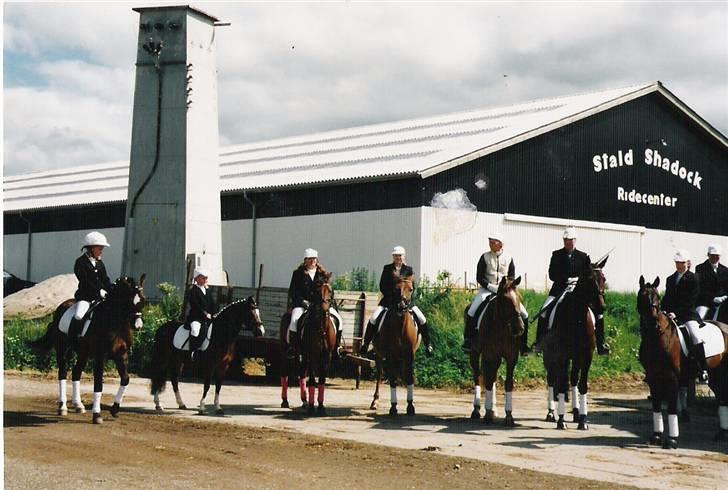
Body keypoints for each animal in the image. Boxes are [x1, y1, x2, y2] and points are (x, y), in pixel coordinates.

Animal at [30, 274, 146, 424]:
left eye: (142, 301)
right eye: (129, 301)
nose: (138, 326)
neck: (114, 324)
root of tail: (60, 308)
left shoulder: (122, 355)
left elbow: (125, 379)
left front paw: (114, 409)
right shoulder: (100, 357)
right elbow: (98, 384)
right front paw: (97, 414)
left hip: (83, 353)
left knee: (76, 372)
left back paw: (78, 405)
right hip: (62, 349)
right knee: (62, 373)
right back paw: (62, 407)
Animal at [366, 274, 418, 416]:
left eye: (411, 289)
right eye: (396, 289)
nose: (401, 306)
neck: (401, 327)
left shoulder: (410, 355)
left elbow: (409, 378)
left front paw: (410, 406)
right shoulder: (390, 356)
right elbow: (393, 379)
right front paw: (393, 407)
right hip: (379, 355)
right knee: (379, 374)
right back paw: (375, 401)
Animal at [472, 276, 524, 424]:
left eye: (519, 298)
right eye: (506, 300)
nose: (520, 328)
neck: (501, 326)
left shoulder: (511, 357)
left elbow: (508, 383)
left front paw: (509, 415)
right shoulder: (489, 355)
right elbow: (488, 382)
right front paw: (487, 415)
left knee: (492, 377)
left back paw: (493, 410)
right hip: (475, 353)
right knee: (477, 377)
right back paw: (477, 410)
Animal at [544, 256, 604, 428]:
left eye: (603, 279)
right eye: (589, 279)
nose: (601, 307)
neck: (576, 318)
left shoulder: (586, 355)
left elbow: (582, 384)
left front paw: (583, 420)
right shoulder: (562, 355)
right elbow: (562, 384)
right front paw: (561, 420)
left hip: (576, 357)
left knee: (573, 379)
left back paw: (576, 412)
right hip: (551, 357)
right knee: (552, 380)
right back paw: (551, 413)